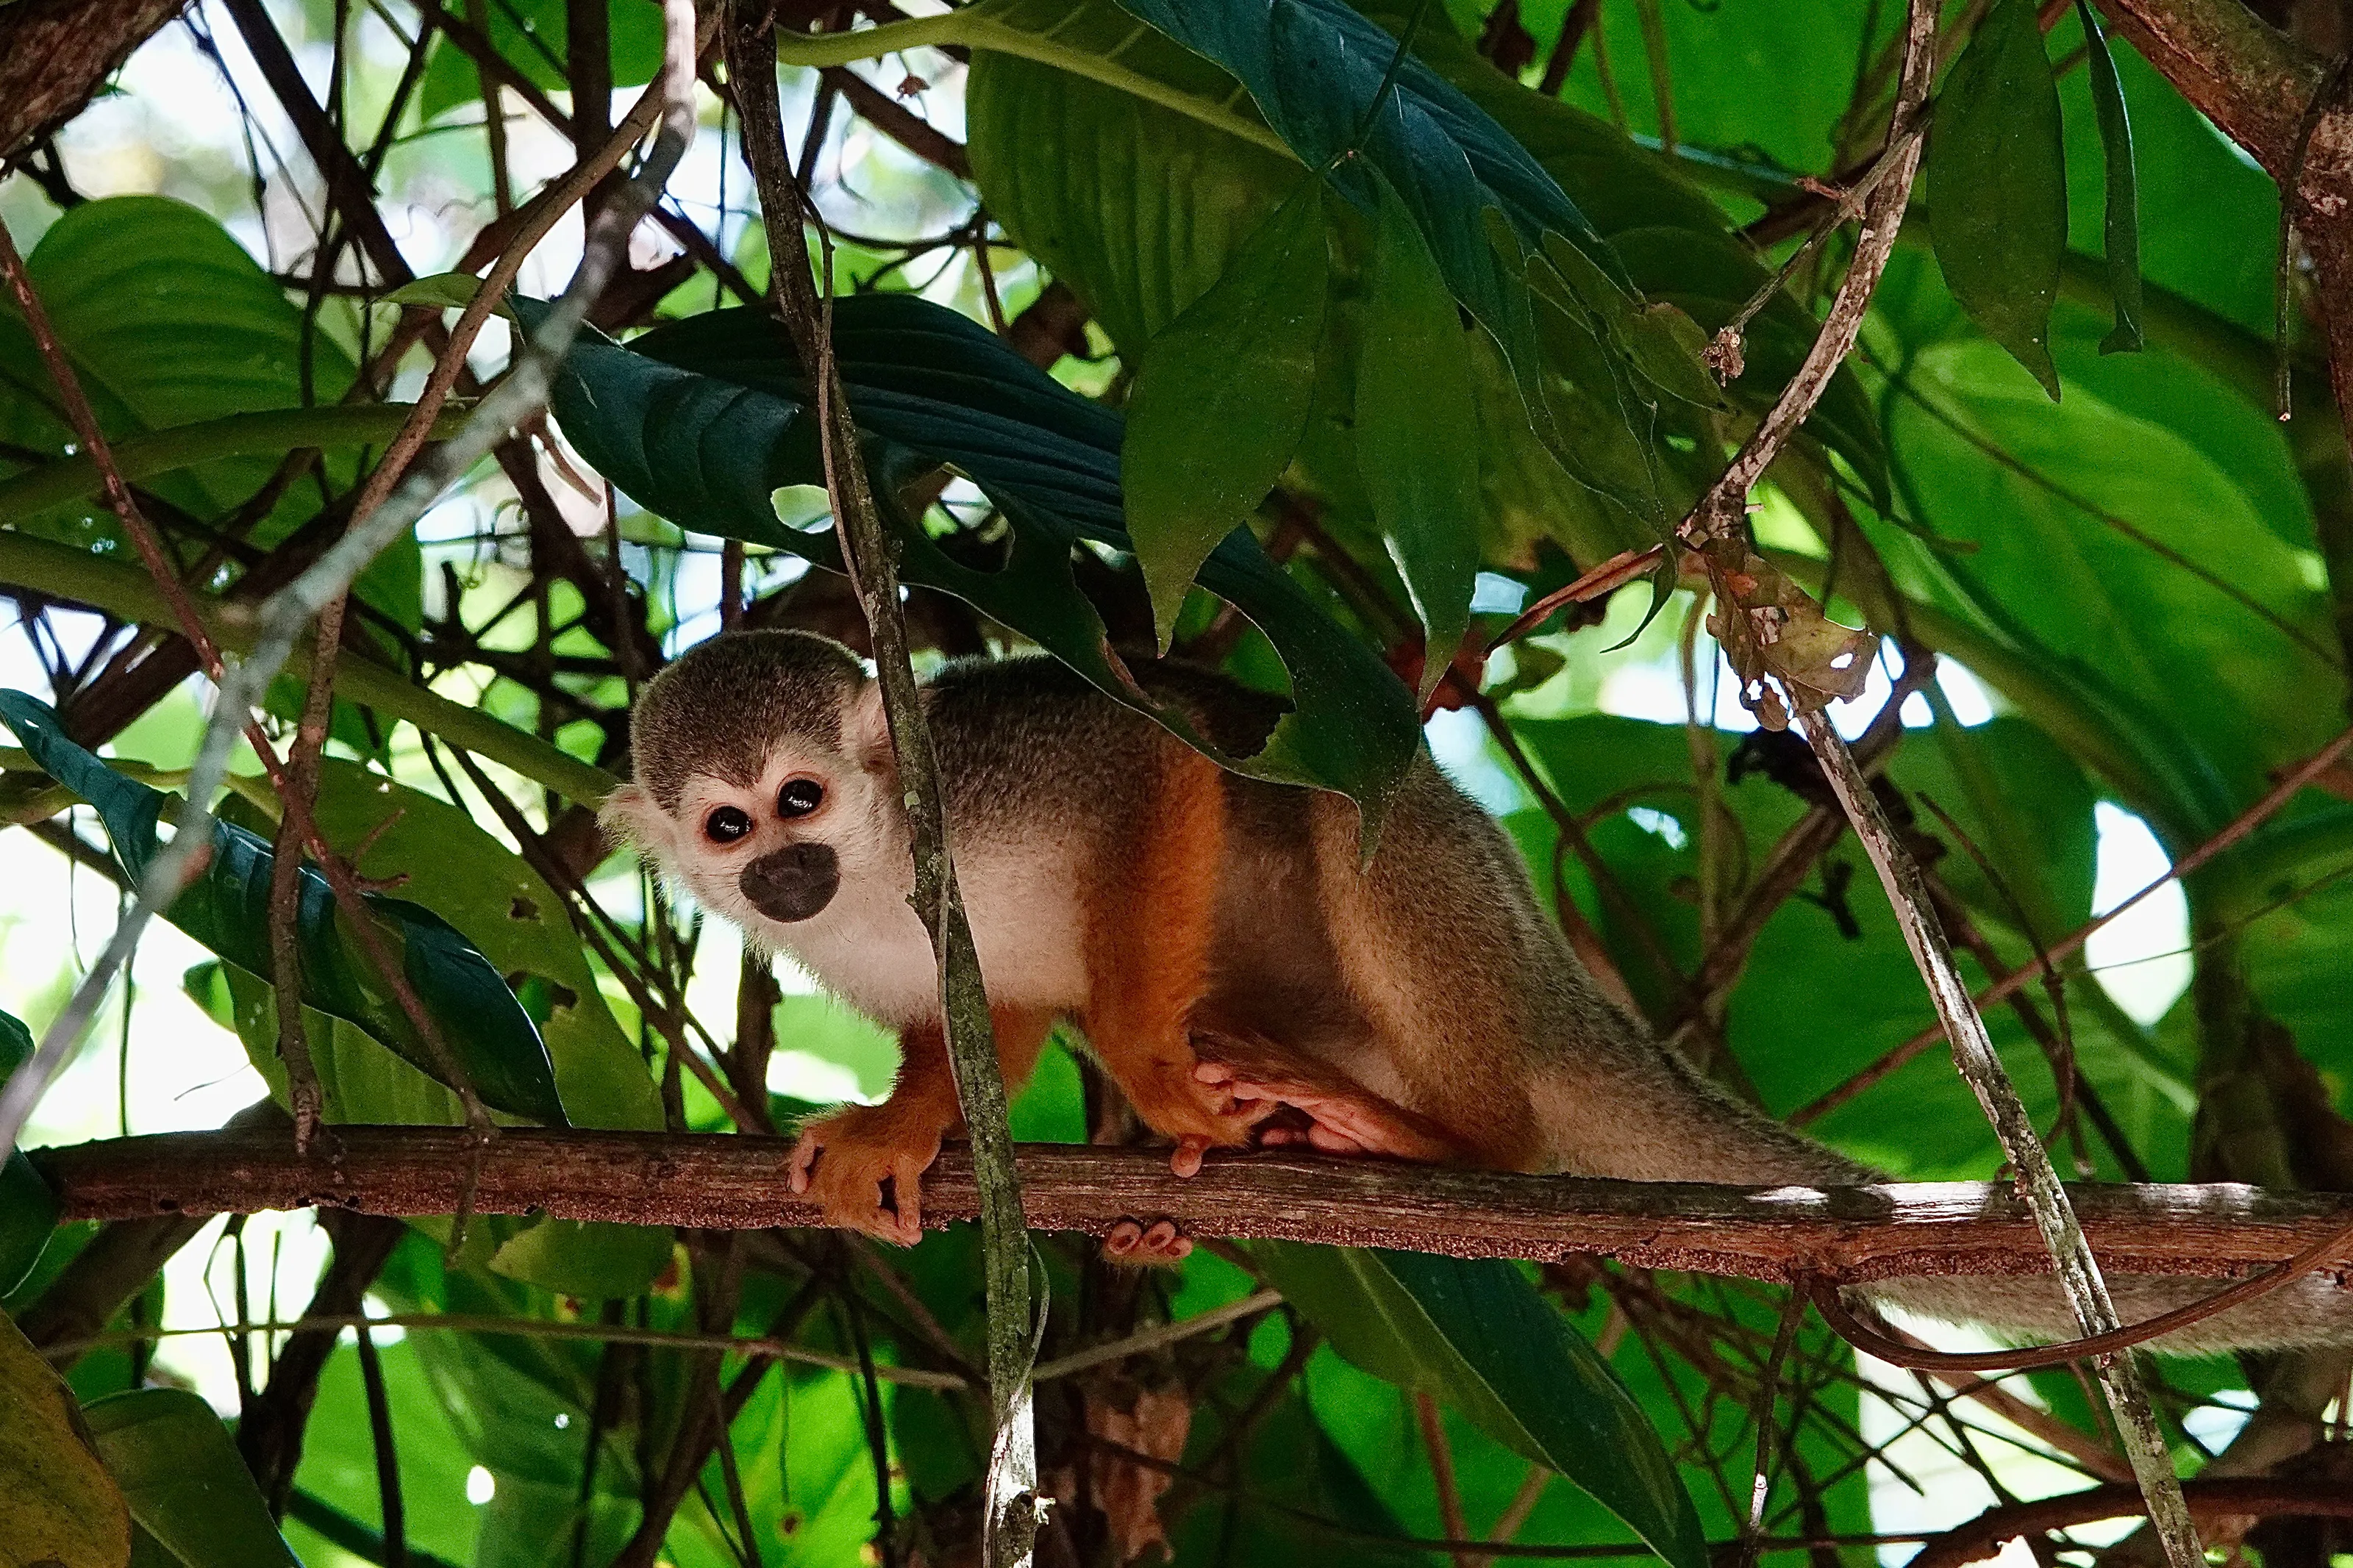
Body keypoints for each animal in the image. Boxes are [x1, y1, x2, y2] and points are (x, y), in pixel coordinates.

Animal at [604, 629, 2353, 1349]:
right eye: (725, 827)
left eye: (802, 797)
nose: (781, 875)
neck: (881, 862)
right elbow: (990, 1017)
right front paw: (912, 1129)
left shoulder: (989, 777)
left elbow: (1158, 759)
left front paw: (1154, 1075)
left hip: (1474, 915)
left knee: (1338, 807)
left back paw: (1447, 1142)